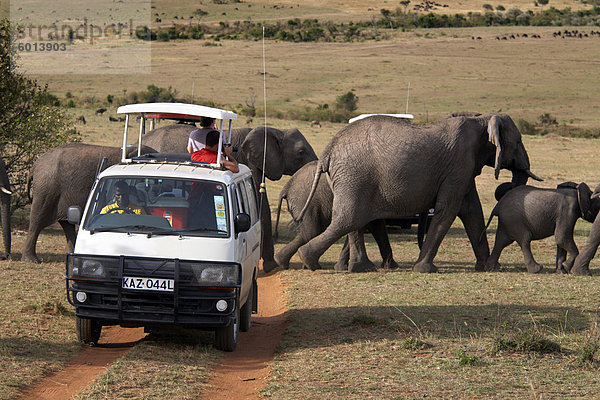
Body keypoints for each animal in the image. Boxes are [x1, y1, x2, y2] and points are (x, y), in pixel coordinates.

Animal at [298, 114, 540, 274]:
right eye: (519, 141)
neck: (482, 119)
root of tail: (328, 149)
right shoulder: (460, 163)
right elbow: (449, 209)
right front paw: (425, 269)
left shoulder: (464, 168)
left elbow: (472, 210)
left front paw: (489, 268)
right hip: (354, 175)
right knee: (349, 219)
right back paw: (310, 260)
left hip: (351, 178)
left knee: (354, 220)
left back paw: (362, 268)